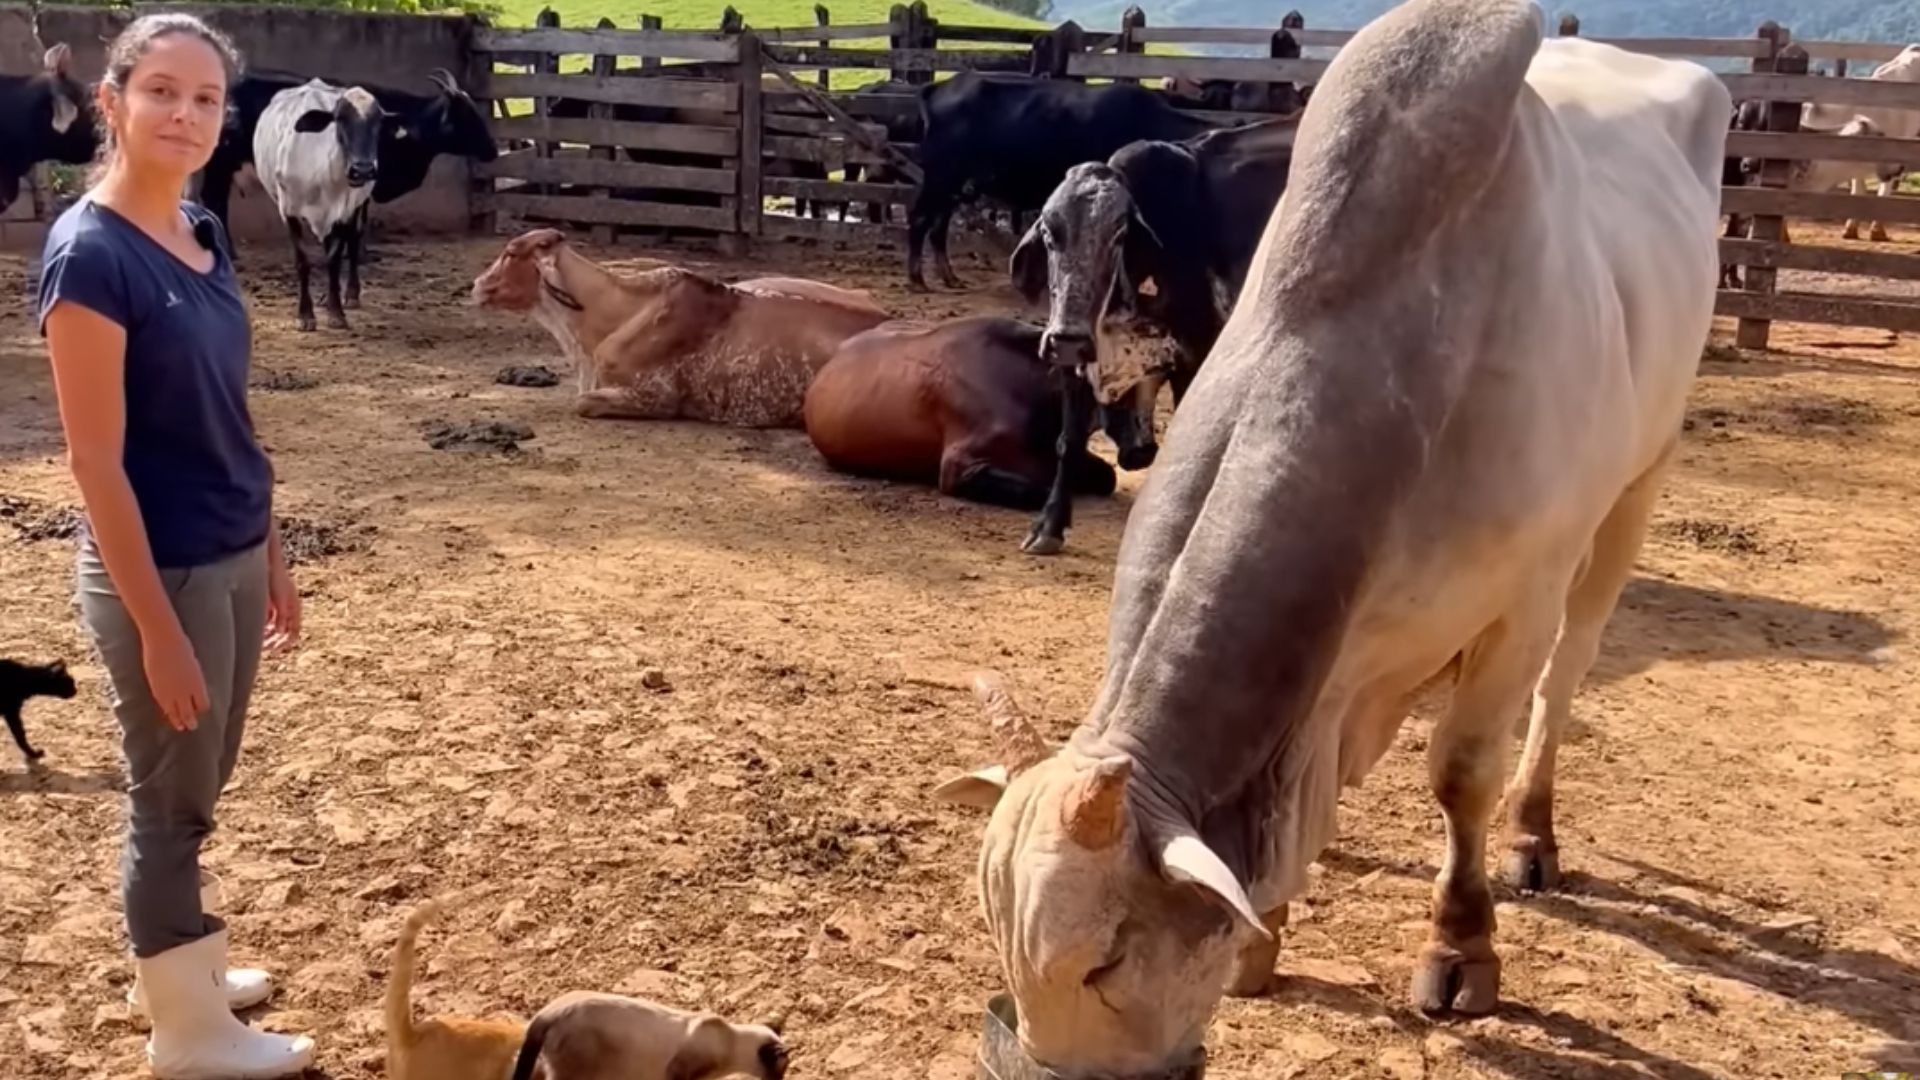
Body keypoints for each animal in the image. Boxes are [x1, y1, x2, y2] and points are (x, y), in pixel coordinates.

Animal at [198, 67, 497, 274]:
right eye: (465, 115)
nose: (493, 150)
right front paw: (358, 255)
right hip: (219, 166)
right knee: (214, 202)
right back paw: (230, 253)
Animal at [252, 79, 391, 331]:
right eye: (339, 118)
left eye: (380, 121)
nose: (363, 170)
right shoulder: (289, 210)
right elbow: (303, 261)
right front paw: (305, 314)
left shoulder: (345, 210)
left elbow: (334, 260)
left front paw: (336, 313)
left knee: (354, 241)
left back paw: (350, 294)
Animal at [907, 72, 1221, 291]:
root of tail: (939, 88)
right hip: (940, 178)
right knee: (920, 219)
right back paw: (917, 279)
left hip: (951, 186)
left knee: (938, 226)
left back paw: (949, 277)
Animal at [1009, 114, 1300, 554]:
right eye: (1049, 234)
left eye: (1119, 233)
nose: (1068, 338)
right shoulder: (1077, 362)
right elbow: (1068, 442)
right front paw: (1048, 526)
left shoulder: (1194, 356)